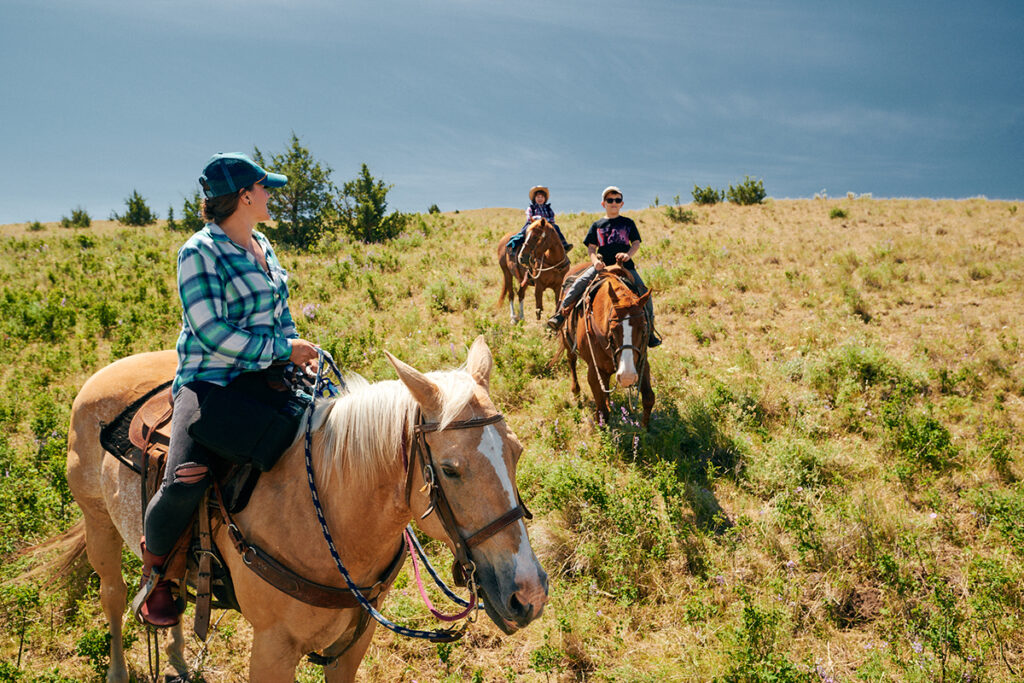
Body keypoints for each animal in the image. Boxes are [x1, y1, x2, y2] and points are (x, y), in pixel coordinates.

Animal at [65, 337, 548, 683]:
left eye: (517, 452)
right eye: (449, 469)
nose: (529, 593)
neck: (328, 517)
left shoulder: (353, 644)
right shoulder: (272, 651)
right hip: (99, 523)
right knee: (114, 595)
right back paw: (118, 671)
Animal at [552, 266, 655, 428]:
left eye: (644, 327)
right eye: (612, 330)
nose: (627, 376)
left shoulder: (641, 362)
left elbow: (649, 398)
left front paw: (645, 429)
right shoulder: (594, 371)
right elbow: (602, 412)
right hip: (568, 343)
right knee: (571, 361)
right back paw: (576, 392)